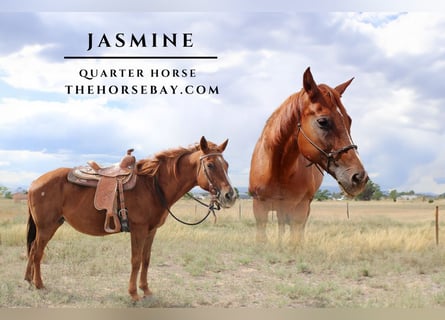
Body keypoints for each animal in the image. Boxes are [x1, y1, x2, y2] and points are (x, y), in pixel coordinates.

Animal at [25, 137, 236, 300]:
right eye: (210, 165)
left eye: (226, 165)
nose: (230, 196)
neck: (153, 185)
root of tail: (35, 182)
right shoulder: (138, 229)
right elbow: (135, 260)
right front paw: (134, 293)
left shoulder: (151, 230)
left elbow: (146, 259)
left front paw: (146, 290)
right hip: (47, 227)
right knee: (37, 252)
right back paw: (39, 284)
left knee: (33, 249)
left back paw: (28, 279)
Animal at [248, 67, 366, 248]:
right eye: (323, 121)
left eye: (349, 121)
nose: (359, 177)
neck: (278, 170)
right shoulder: (260, 208)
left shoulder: (299, 210)